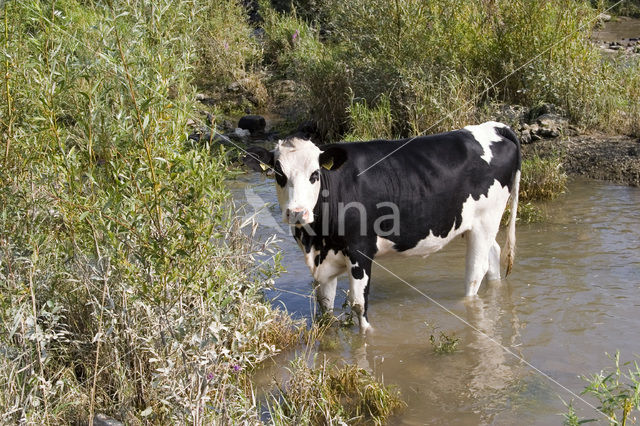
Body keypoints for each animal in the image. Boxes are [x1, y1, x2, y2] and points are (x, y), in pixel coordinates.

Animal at [244, 120, 520, 332]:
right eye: (279, 174)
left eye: (315, 174)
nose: (297, 212)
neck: (317, 240)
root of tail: (493, 127)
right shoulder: (325, 260)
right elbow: (325, 304)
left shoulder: (360, 250)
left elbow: (358, 304)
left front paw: (366, 338)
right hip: (476, 225)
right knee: (493, 256)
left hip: (486, 219)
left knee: (475, 272)